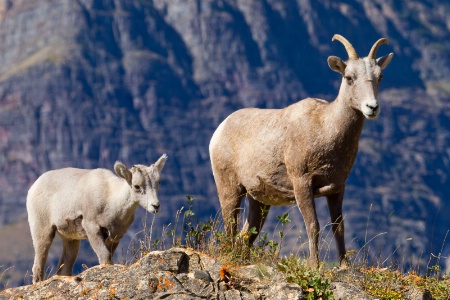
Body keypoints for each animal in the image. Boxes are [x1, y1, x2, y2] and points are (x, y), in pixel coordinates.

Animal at [28, 155, 169, 284]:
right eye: (137, 186)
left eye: (158, 182)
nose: (155, 206)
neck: (111, 201)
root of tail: (34, 187)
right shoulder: (92, 228)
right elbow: (105, 258)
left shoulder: (114, 237)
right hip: (43, 232)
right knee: (38, 266)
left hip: (71, 240)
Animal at [209, 34, 392, 268]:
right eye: (349, 77)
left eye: (380, 77)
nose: (372, 107)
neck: (326, 128)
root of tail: (220, 129)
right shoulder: (302, 183)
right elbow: (313, 225)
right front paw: (314, 265)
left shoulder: (337, 187)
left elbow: (338, 227)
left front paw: (344, 265)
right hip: (230, 189)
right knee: (230, 228)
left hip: (259, 201)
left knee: (246, 235)